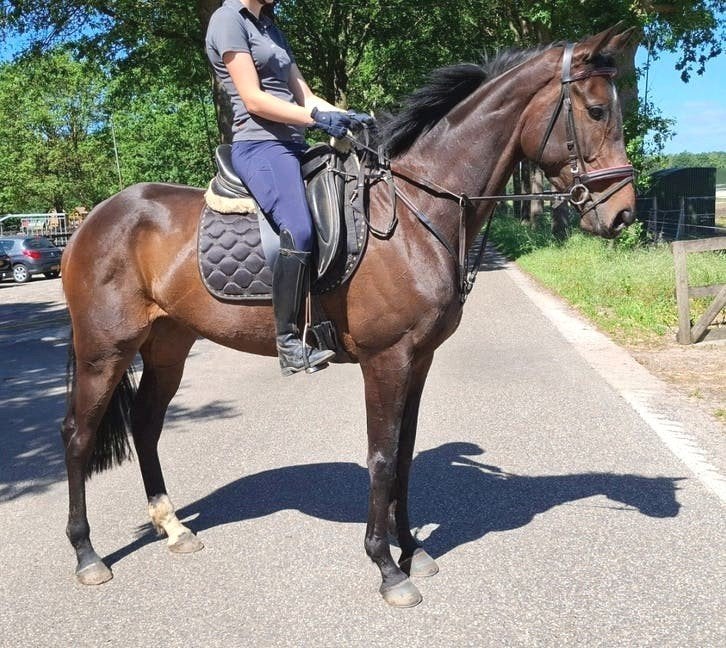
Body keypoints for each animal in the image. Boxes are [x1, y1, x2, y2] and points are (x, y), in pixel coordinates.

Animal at [60, 25, 637, 607]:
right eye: (595, 110)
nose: (623, 214)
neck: (412, 213)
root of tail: (95, 218)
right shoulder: (386, 359)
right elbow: (381, 456)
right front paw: (386, 567)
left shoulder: (419, 360)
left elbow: (404, 453)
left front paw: (413, 550)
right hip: (104, 350)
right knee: (78, 435)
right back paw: (87, 555)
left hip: (167, 346)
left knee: (145, 424)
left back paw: (173, 528)